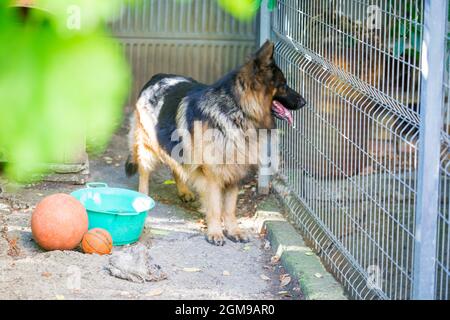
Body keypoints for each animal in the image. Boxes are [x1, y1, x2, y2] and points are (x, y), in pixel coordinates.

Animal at [125, 40, 306, 245]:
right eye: (283, 85)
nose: (304, 102)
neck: (238, 112)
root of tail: (156, 77)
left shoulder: (234, 174)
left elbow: (229, 208)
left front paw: (233, 231)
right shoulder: (212, 176)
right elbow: (215, 207)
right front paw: (215, 232)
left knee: (176, 167)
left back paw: (184, 191)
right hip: (148, 147)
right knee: (144, 172)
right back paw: (143, 197)